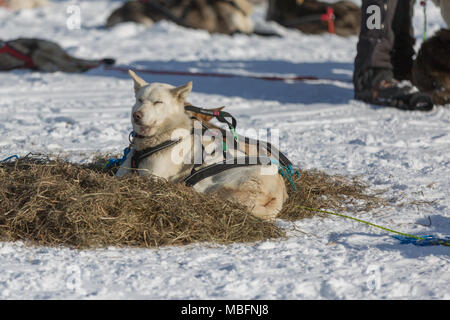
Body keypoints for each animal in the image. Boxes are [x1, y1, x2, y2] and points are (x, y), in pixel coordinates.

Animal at [114, 70, 286, 220]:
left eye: (158, 102)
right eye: (140, 100)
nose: (136, 115)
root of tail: (278, 195)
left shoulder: (154, 177)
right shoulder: (122, 173)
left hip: (210, 184)